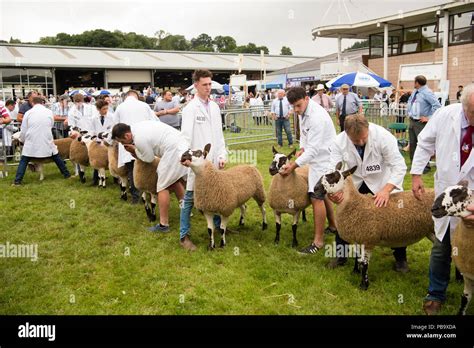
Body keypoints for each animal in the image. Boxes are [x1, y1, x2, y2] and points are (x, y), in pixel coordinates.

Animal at [316, 162, 436, 290]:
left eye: (333, 176)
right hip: (430, 231)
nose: (315, 189)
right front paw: (355, 272)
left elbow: (364, 263)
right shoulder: (358, 238)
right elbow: (357, 258)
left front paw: (364, 285)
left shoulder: (368, 239)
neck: (355, 203)